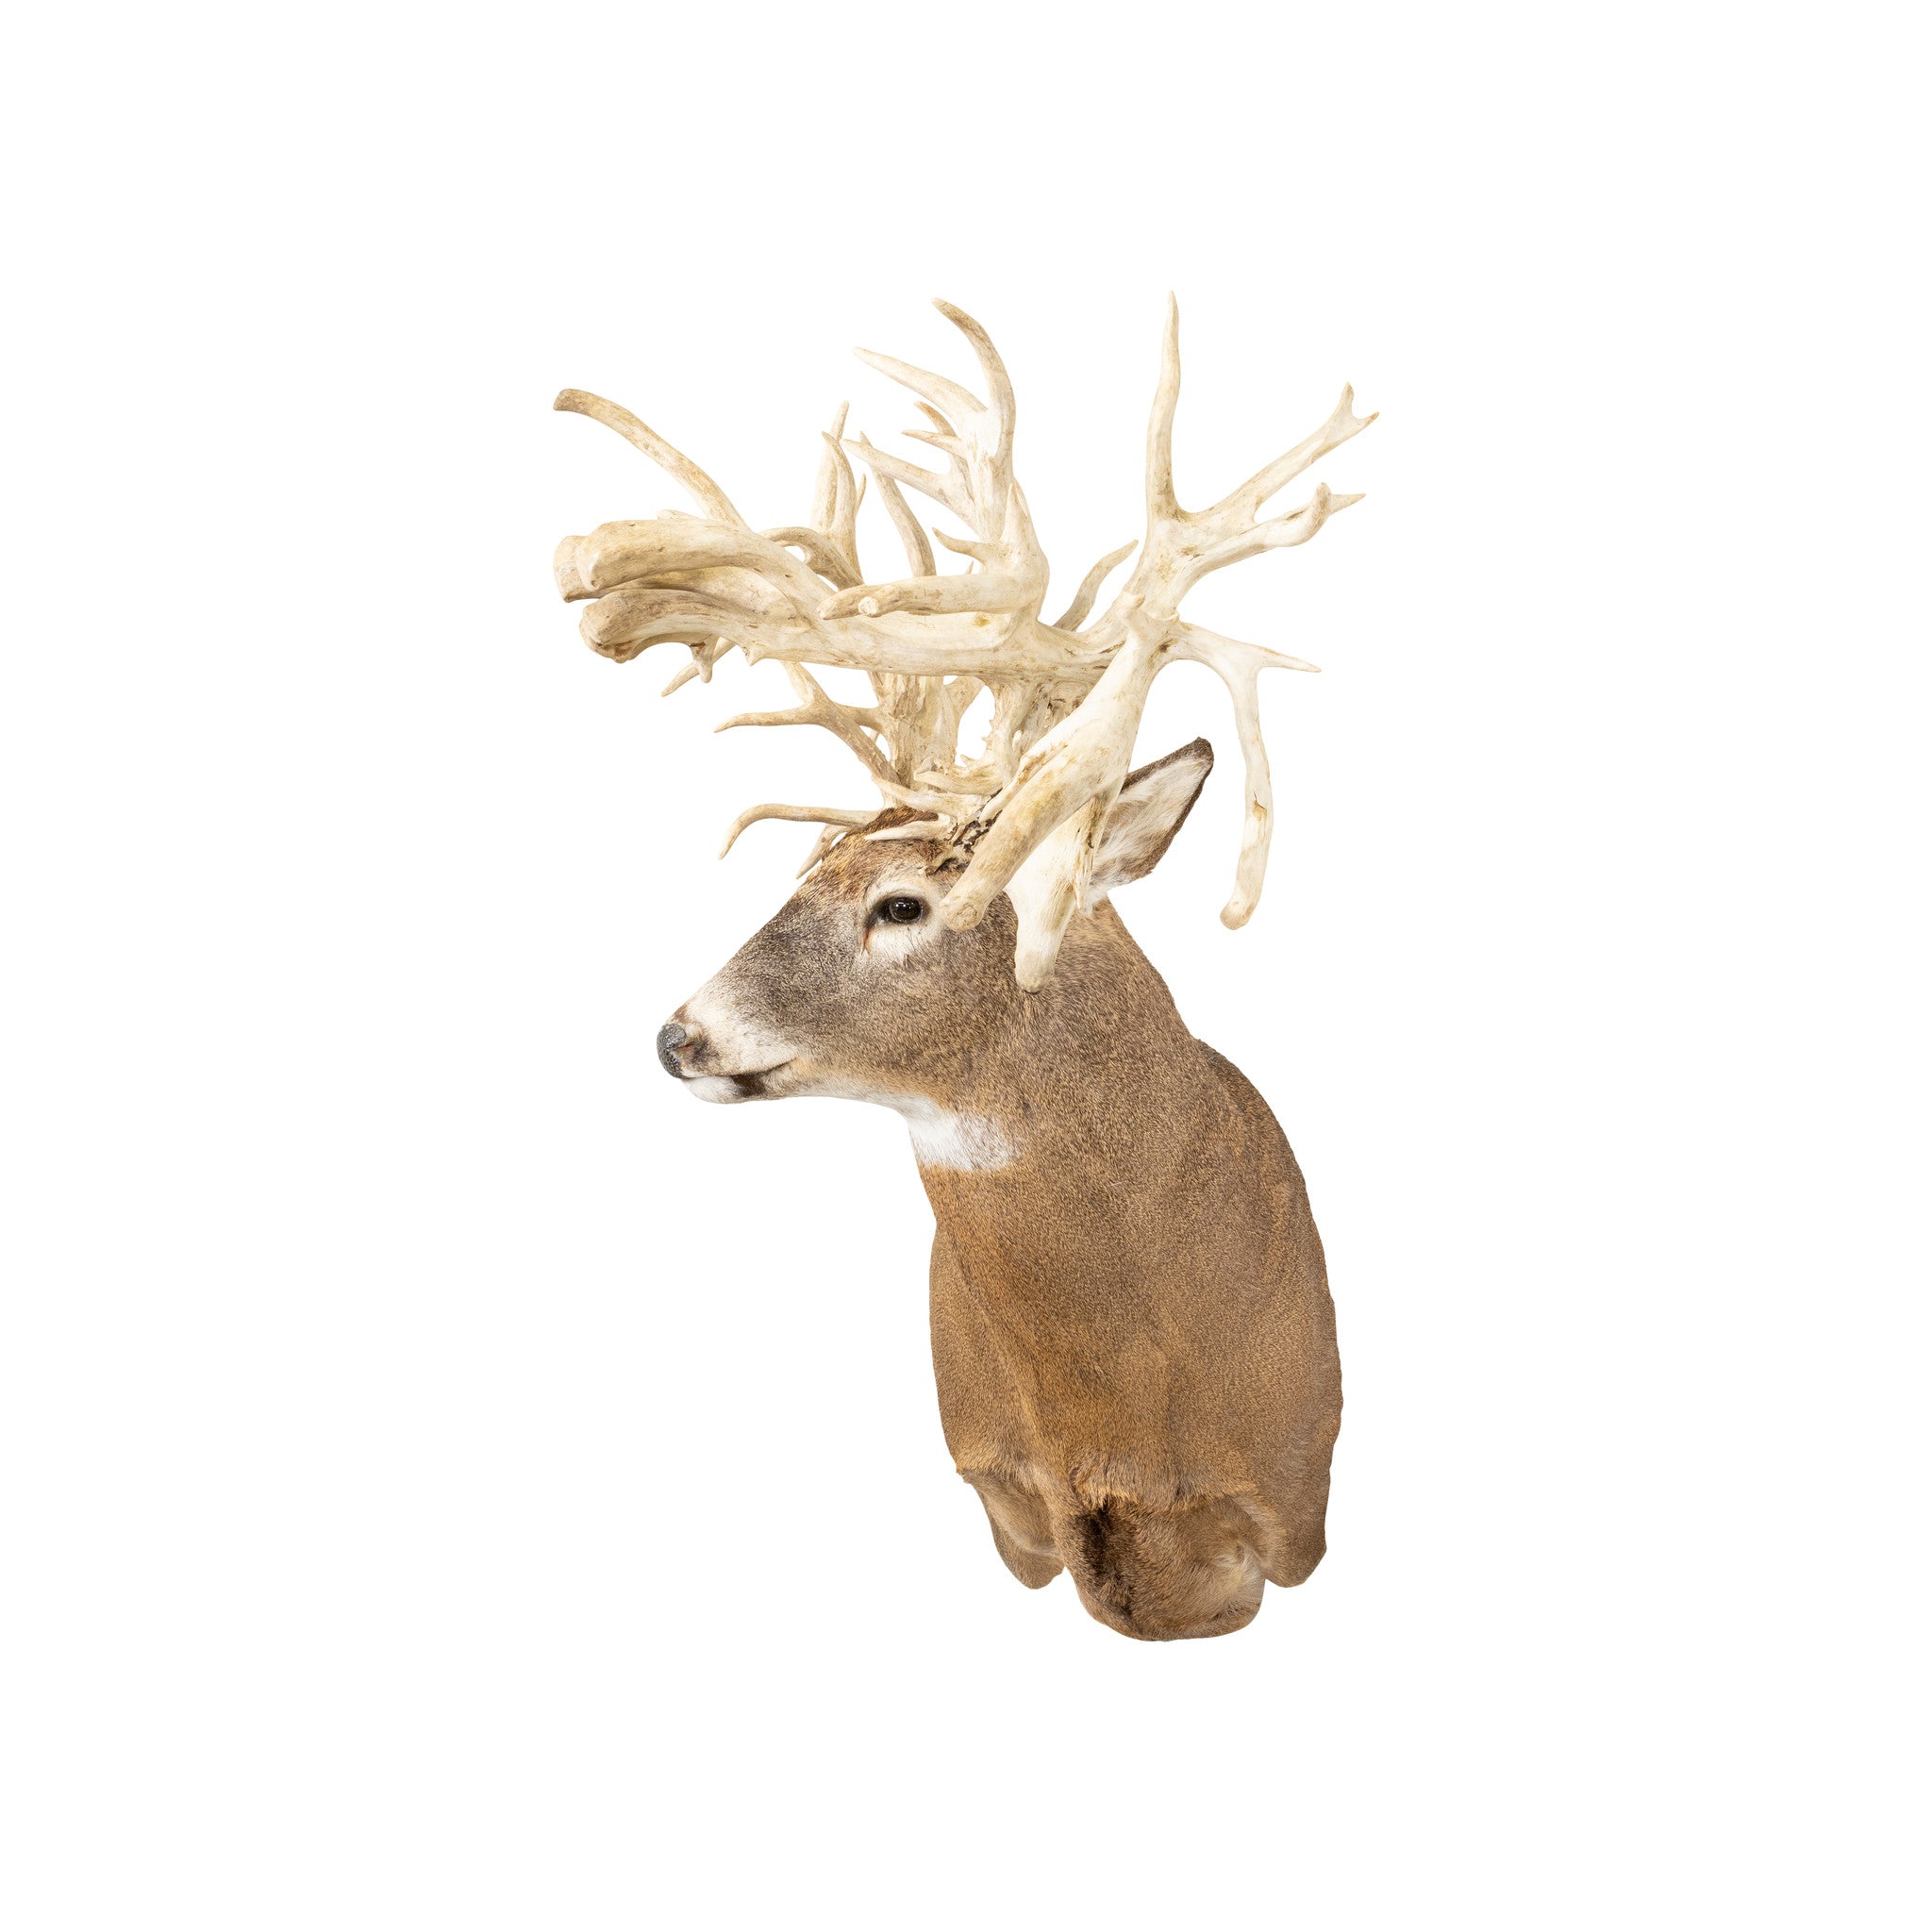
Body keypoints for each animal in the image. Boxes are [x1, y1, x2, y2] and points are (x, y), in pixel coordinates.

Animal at [553, 300, 1372, 1640]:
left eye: (900, 904)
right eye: (802, 867)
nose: (677, 1034)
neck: (1119, 1416)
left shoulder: (1285, 1493)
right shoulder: (998, 1494)